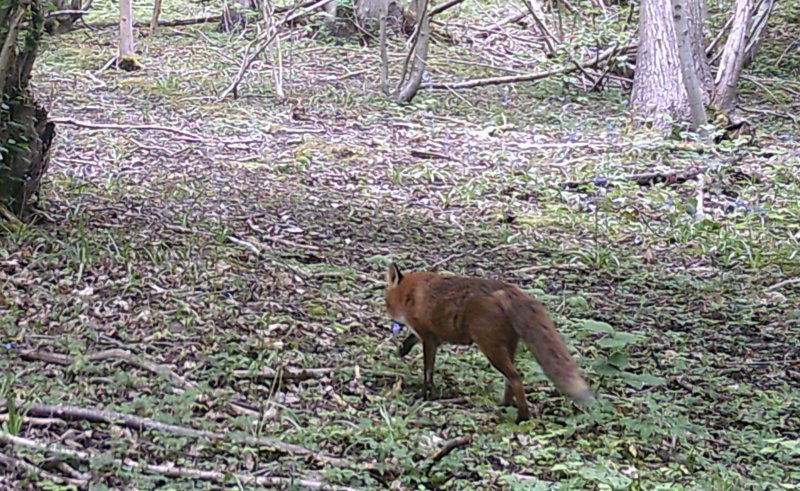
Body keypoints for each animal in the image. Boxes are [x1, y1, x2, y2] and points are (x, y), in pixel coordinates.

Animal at [383, 263, 595, 423]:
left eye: (386, 302)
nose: (390, 317)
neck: (410, 292)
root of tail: (508, 289)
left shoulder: (428, 336)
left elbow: (428, 370)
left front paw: (425, 394)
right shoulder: (436, 335)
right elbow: (413, 341)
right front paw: (402, 350)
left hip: (491, 348)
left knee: (516, 377)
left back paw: (522, 417)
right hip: (508, 347)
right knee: (511, 379)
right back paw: (505, 406)